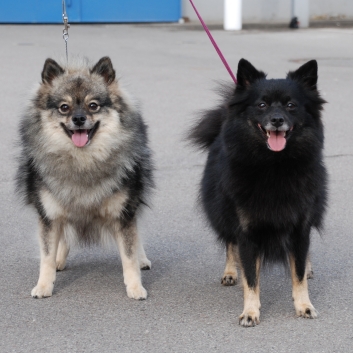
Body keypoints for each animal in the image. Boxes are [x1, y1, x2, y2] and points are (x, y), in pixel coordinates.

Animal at [16, 56, 153, 298]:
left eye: (93, 105)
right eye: (64, 107)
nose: (79, 119)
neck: (82, 160)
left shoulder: (123, 213)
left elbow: (129, 255)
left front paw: (136, 287)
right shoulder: (50, 215)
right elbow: (46, 256)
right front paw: (43, 285)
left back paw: (142, 258)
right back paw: (60, 259)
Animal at [188, 57, 326, 324]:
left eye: (291, 105)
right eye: (261, 105)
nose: (277, 120)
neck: (273, 166)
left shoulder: (299, 227)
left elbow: (298, 271)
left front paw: (304, 305)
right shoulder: (247, 232)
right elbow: (252, 277)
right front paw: (250, 311)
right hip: (223, 213)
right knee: (229, 244)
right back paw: (231, 271)